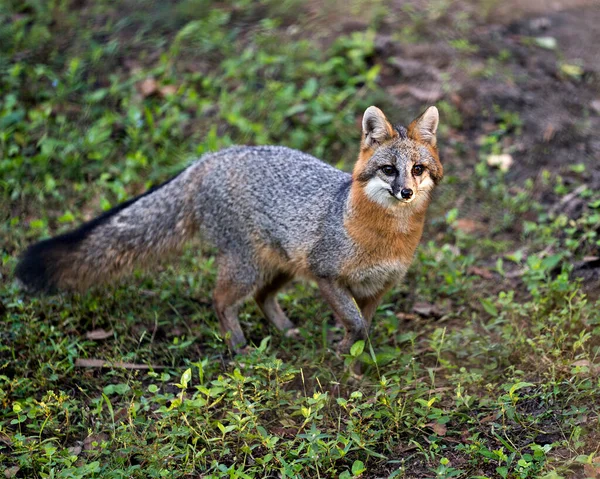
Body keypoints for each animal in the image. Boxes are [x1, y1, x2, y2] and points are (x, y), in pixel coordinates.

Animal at [16, 106, 442, 352]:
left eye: (417, 169)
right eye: (388, 169)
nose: (405, 192)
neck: (386, 238)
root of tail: (212, 157)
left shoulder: (377, 287)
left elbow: (364, 327)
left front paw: (355, 365)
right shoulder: (326, 274)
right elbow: (354, 323)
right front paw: (342, 353)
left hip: (280, 267)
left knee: (261, 298)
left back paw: (285, 331)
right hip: (247, 267)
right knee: (220, 300)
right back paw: (239, 348)